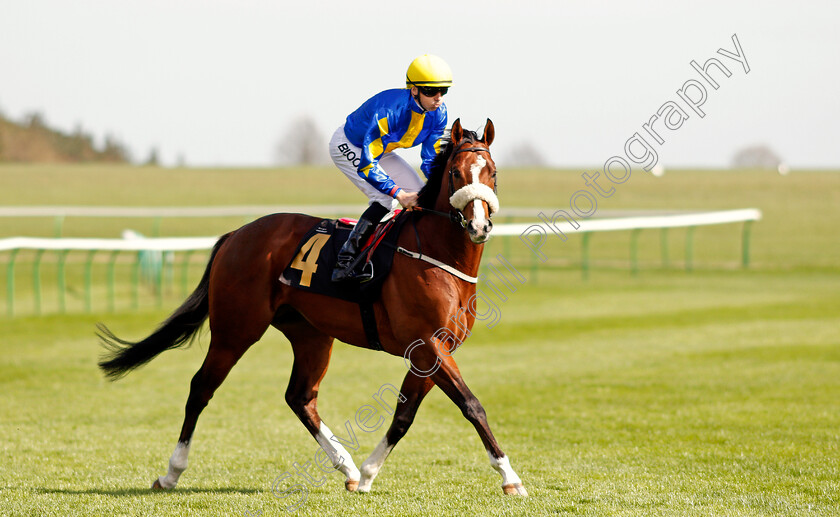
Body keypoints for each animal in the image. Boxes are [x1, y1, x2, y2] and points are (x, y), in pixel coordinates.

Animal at [98, 117, 524, 496]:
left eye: (493, 173)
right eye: (455, 173)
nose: (480, 226)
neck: (436, 255)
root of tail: (237, 234)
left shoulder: (432, 350)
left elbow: (404, 415)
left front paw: (367, 475)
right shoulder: (427, 343)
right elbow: (471, 405)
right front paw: (510, 477)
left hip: (310, 334)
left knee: (300, 397)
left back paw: (346, 466)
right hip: (236, 329)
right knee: (201, 387)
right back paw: (171, 472)